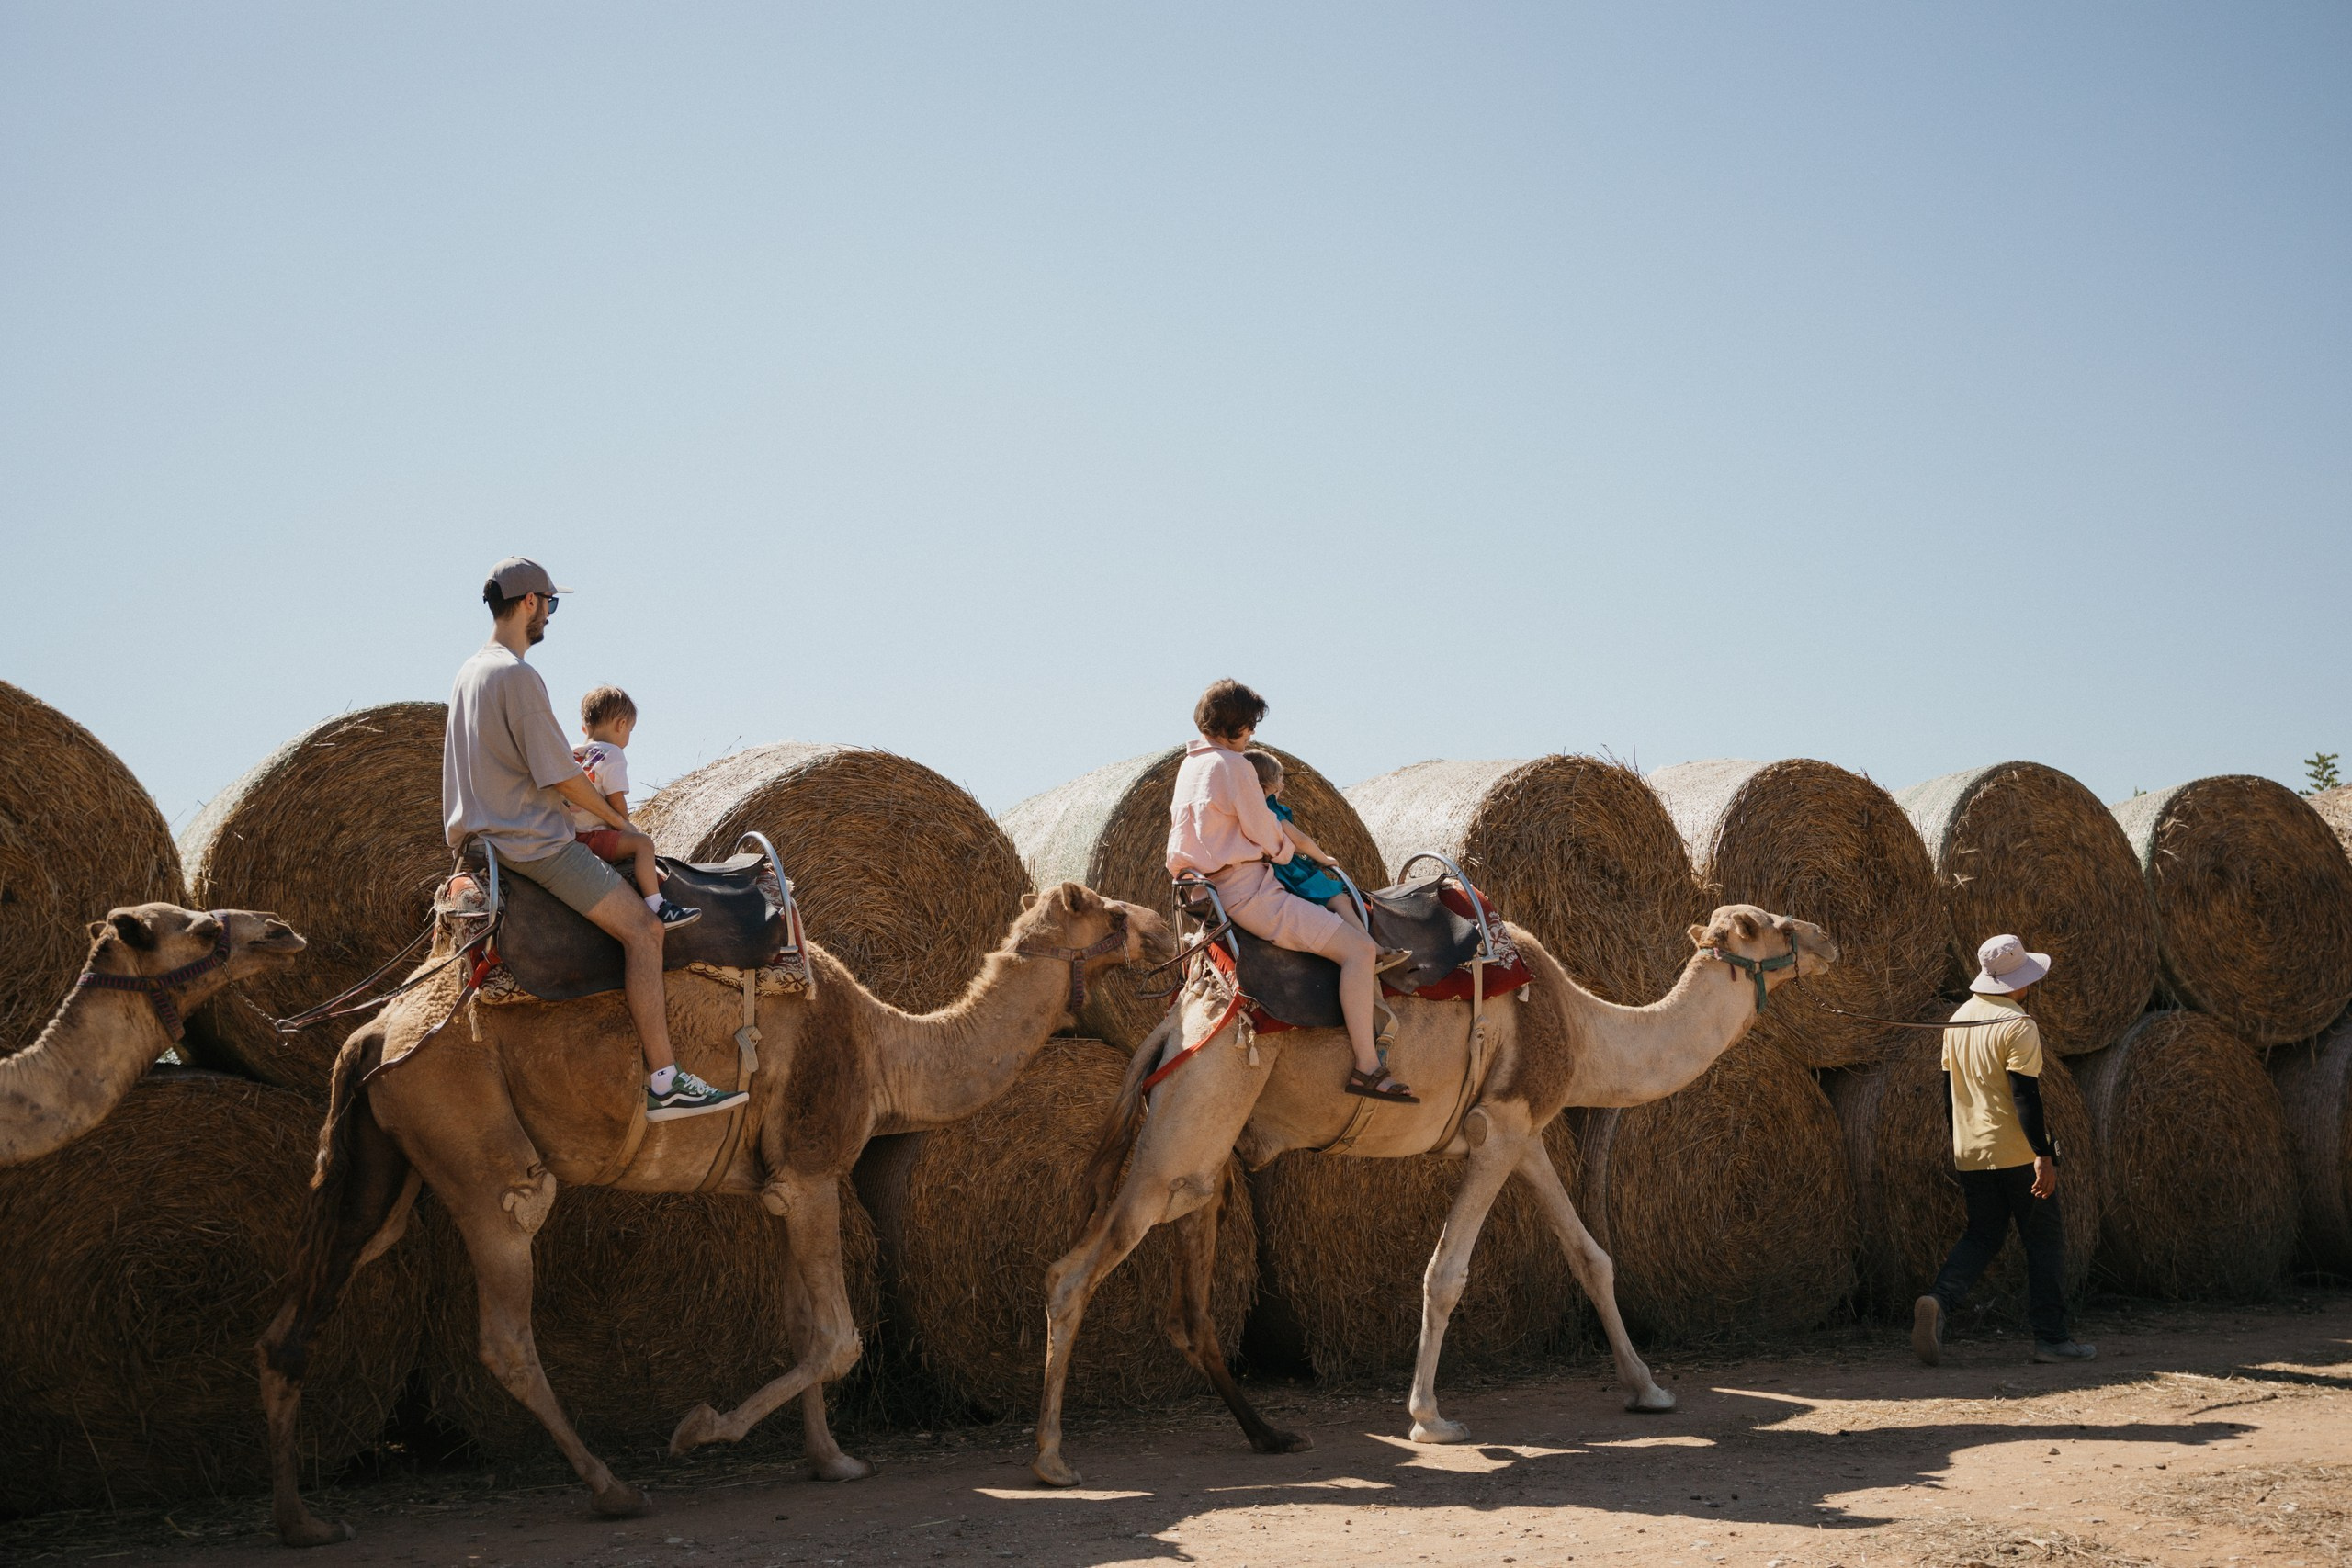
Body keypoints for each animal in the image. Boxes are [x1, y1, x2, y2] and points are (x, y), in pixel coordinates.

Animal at [258, 880, 1166, 1547]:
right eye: (1109, 911)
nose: (1166, 921)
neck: (886, 1052)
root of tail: (375, 1034)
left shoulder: (777, 1187)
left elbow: (806, 1328)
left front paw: (831, 1460)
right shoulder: (813, 1170)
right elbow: (839, 1339)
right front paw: (700, 1429)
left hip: (386, 1166)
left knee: (297, 1318)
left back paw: (302, 1520)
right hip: (484, 1160)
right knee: (506, 1332)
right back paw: (614, 1487)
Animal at [1030, 902, 1837, 1486]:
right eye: (1765, 925)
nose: (1828, 938)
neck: (1580, 1026)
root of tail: (1169, 1029)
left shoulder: (1527, 1134)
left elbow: (1591, 1256)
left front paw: (1648, 1388)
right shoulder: (1499, 1127)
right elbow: (1445, 1273)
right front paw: (1429, 1419)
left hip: (1203, 1150)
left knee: (1190, 1311)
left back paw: (1272, 1434)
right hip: (1188, 1125)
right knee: (1069, 1274)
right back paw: (1053, 1459)